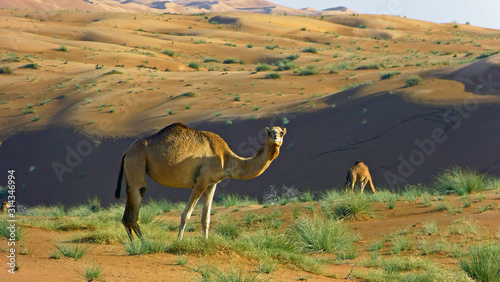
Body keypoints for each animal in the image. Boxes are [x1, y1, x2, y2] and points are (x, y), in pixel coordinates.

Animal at [114, 122, 286, 239]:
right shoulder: (201, 181)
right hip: (137, 160)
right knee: (137, 198)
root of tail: (126, 151)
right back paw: (144, 242)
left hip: (133, 166)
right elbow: (186, 214)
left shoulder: (212, 184)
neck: (225, 158)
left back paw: (135, 244)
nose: (275, 137)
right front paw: (178, 241)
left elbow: (206, 218)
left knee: (127, 213)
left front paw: (206, 241)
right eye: (269, 132)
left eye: (281, 133)